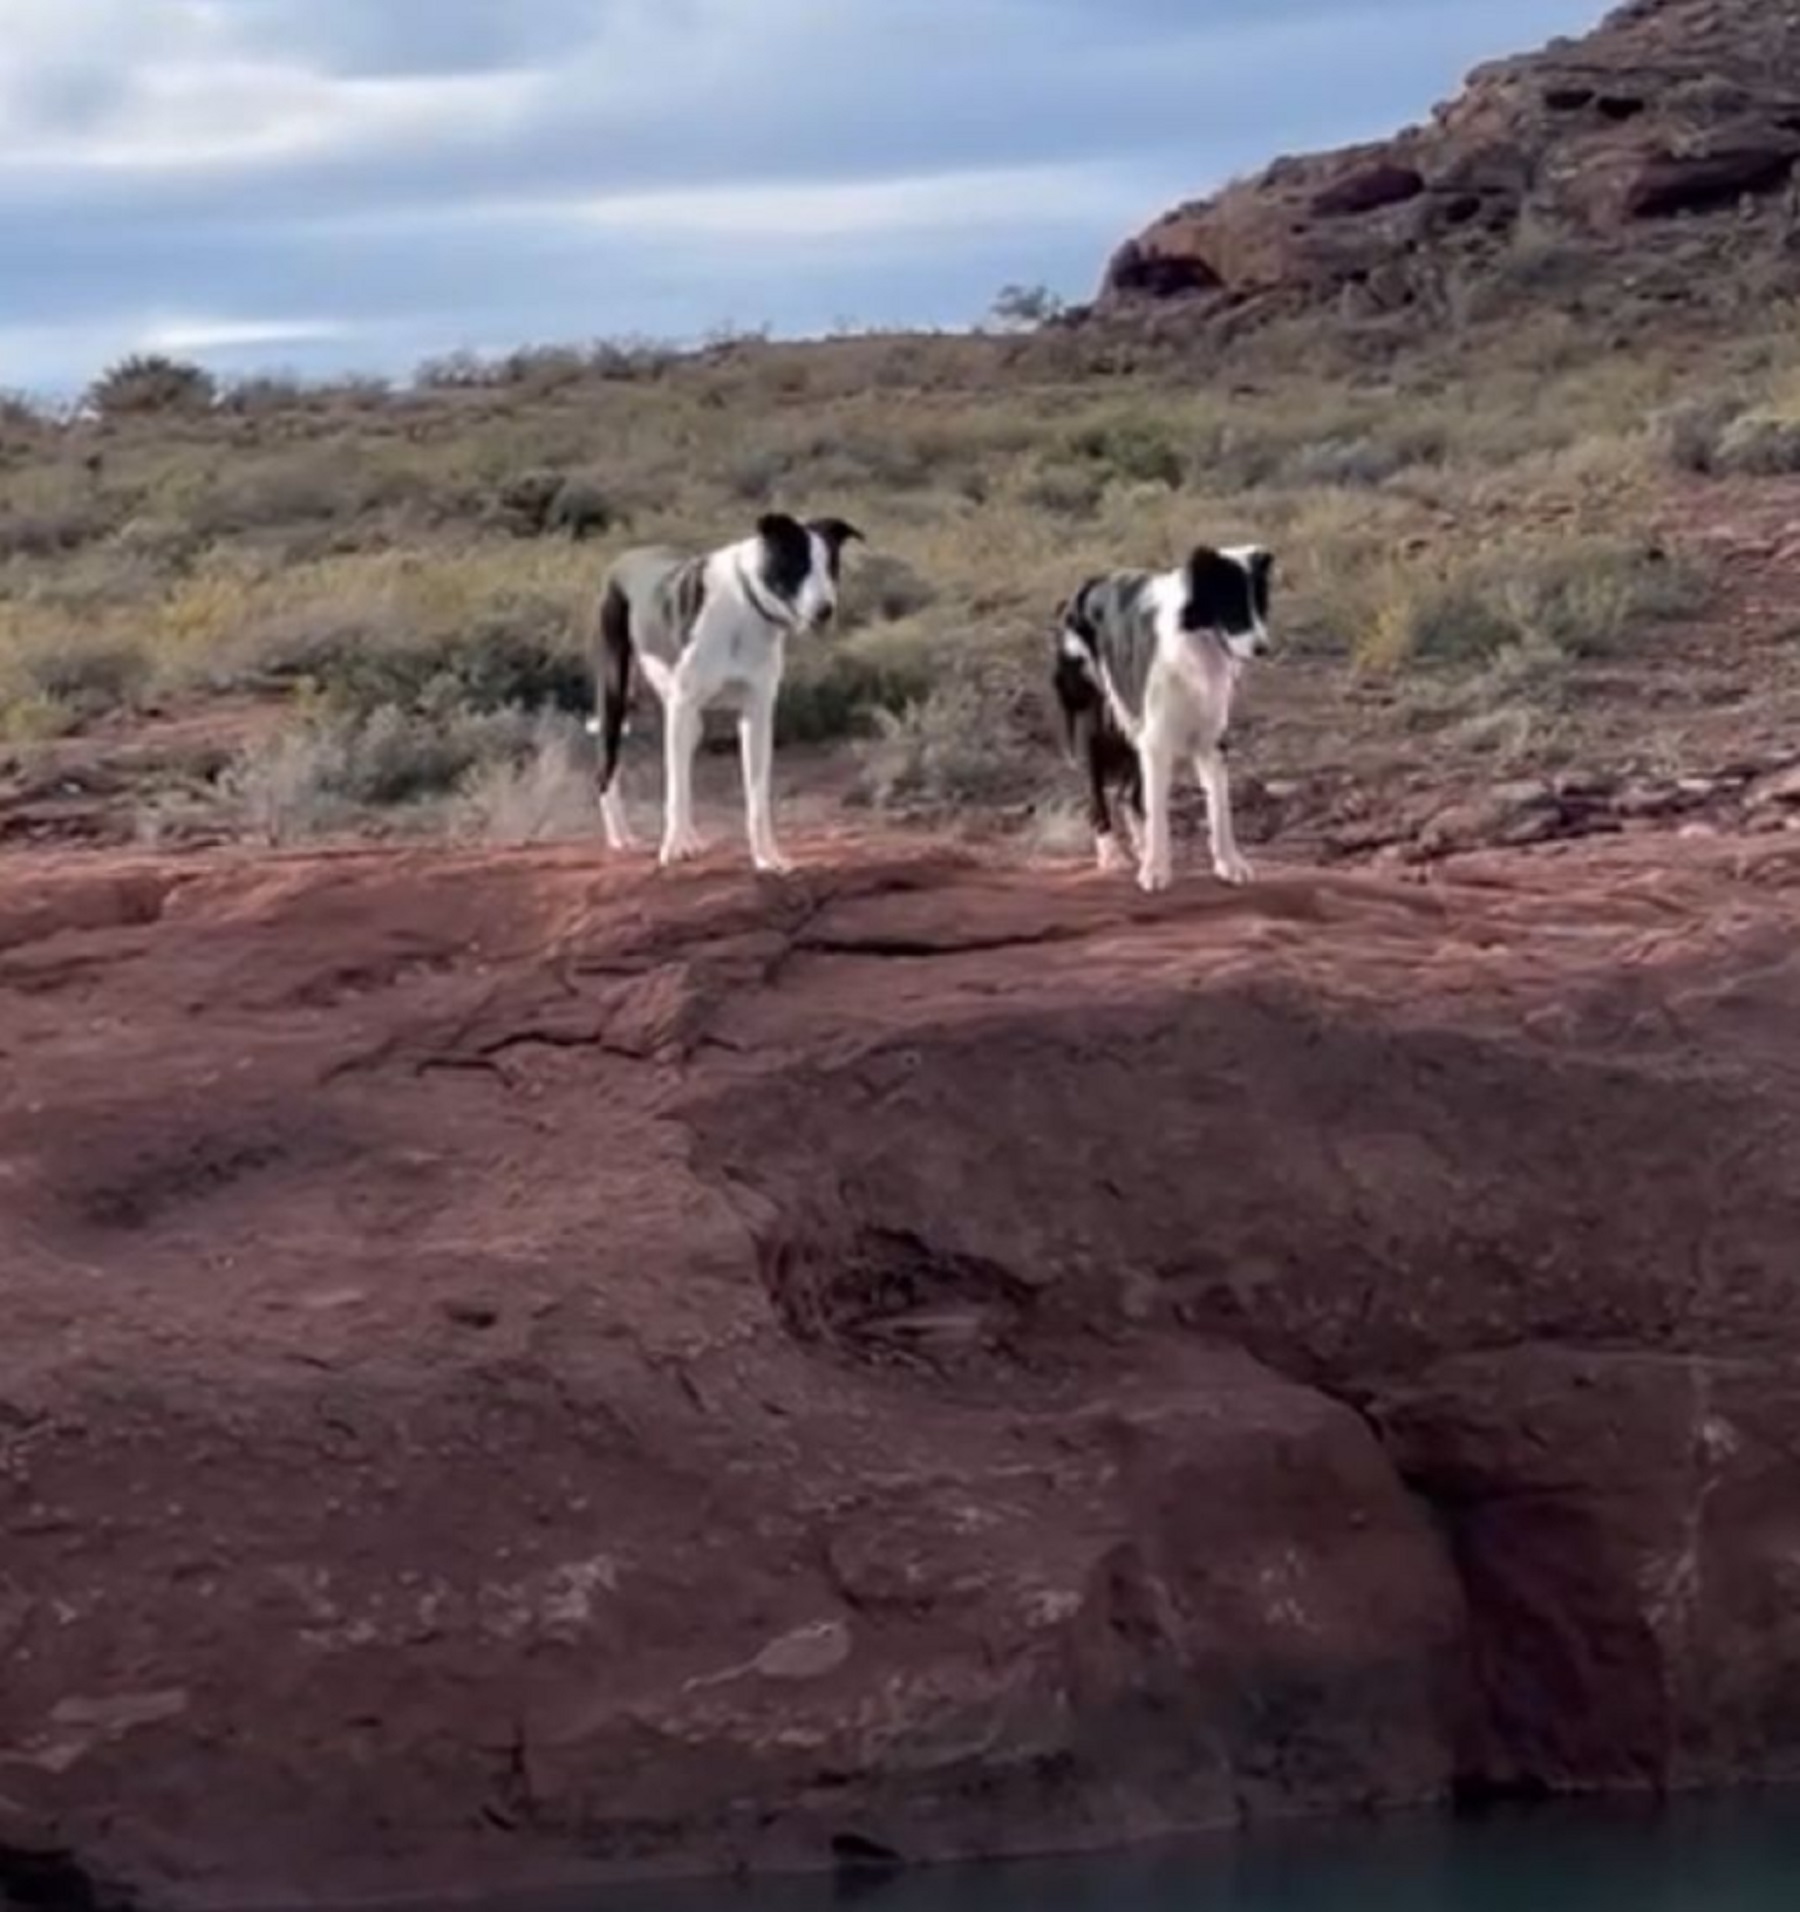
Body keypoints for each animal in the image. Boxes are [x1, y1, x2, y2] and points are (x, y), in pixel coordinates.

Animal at [589, 508, 864, 868]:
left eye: (830, 566)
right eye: (798, 563)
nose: (825, 610)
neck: (746, 607)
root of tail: (625, 557)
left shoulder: (757, 714)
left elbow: (757, 797)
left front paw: (767, 857)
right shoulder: (683, 704)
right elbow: (677, 791)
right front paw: (673, 848)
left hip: (688, 721)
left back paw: (690, 838)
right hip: (618, 692)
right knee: (608, 768)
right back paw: (621, 836)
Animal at [1048, 543, 1270, 890]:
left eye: (1259, 606)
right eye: (1231, 604)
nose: (1264, 648)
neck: (1194, 646)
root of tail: (1083, 589)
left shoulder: (1210, 739)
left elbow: (1220, 807)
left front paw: (1230, 864)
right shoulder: (1158, 738)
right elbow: (1158, 810)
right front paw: (1155, 871)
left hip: (1132, 728)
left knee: (1129, 796)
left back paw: (1140, 845)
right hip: (1095, 722)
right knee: (1099, 798)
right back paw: (1112, 855)